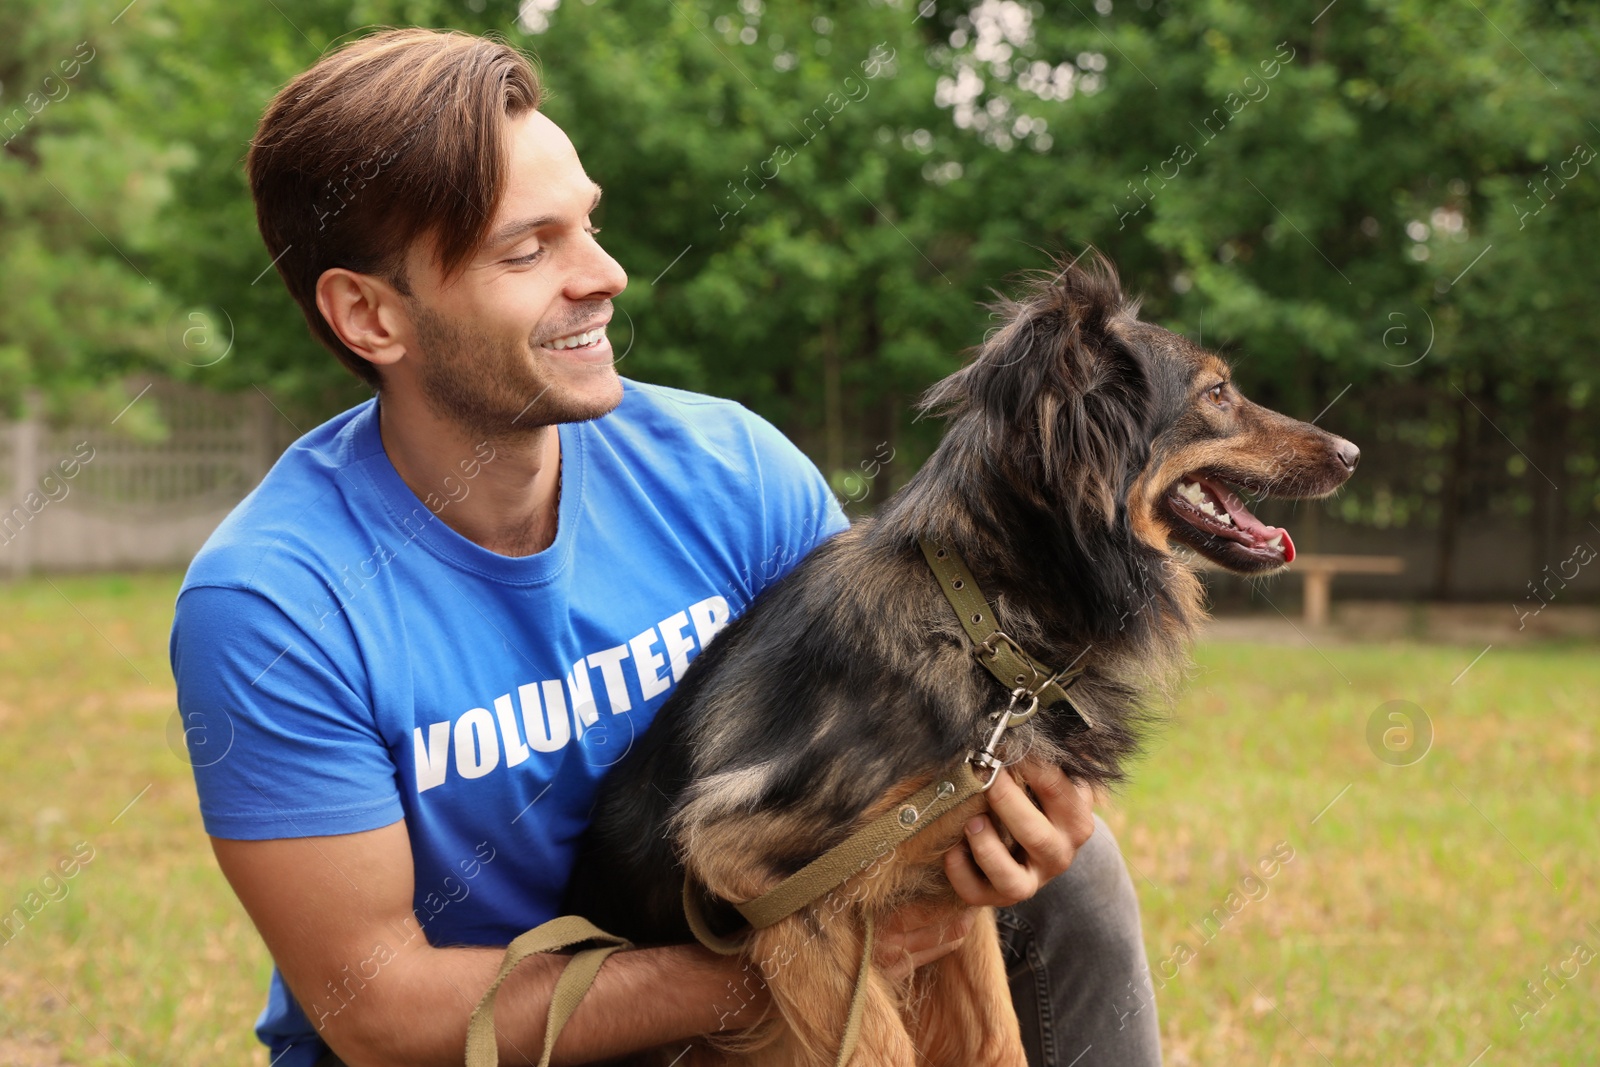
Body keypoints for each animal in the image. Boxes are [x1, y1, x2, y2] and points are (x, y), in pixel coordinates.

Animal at [566, 252, 1363, 1067]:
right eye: (1217, 393)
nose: (1353, 454)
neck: (980, 620)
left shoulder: (949, 886)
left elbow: (995, 1039)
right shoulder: (757, 872)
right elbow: (881, 1048)